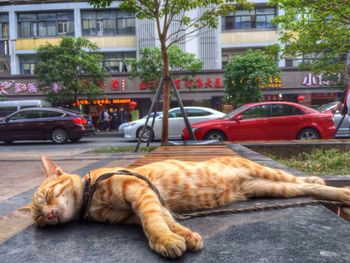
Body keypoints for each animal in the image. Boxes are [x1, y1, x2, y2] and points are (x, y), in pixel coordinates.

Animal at [31, 157, 350, 260]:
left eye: (48, 195)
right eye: (39, 219)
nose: (49, 215)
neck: (91, 196)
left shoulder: (140, 193)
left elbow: (152, 222)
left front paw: (163, 240)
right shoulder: (134, 210)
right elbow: (165, 219)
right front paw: (183, 236)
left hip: (267, 174)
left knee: (299, 179)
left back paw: (338, 189)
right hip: (271, 188)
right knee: (304, 189)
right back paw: (331, 189)